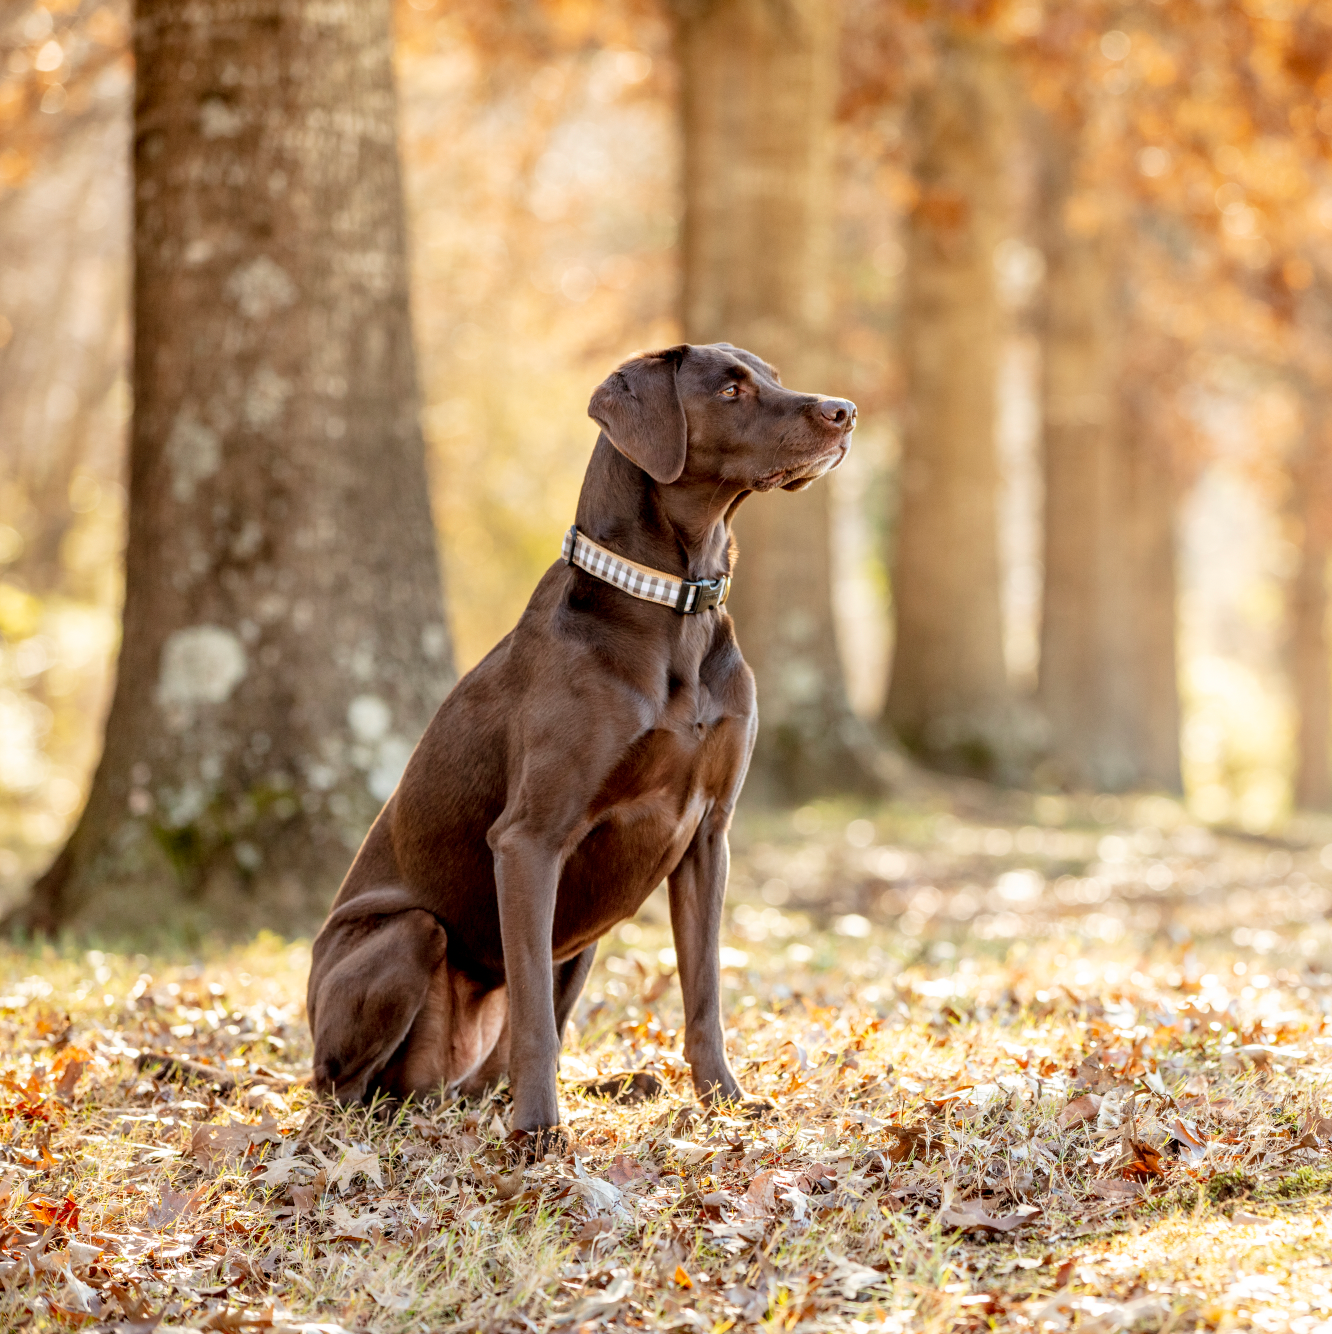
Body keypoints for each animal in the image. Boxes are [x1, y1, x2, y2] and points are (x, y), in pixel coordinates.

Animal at [306, 341, 853, 1136]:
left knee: (482, 1077)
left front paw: (724, 1101)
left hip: (584, 939)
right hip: (409, 933)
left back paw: (614, 1085)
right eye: (729, 390)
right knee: (346, 1088)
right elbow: (535, 1015)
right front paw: (538, 1132)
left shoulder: (707, 837)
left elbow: (704, 994)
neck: (673, 607)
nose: (846, 411)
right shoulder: (530, 841)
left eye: (773, 376)